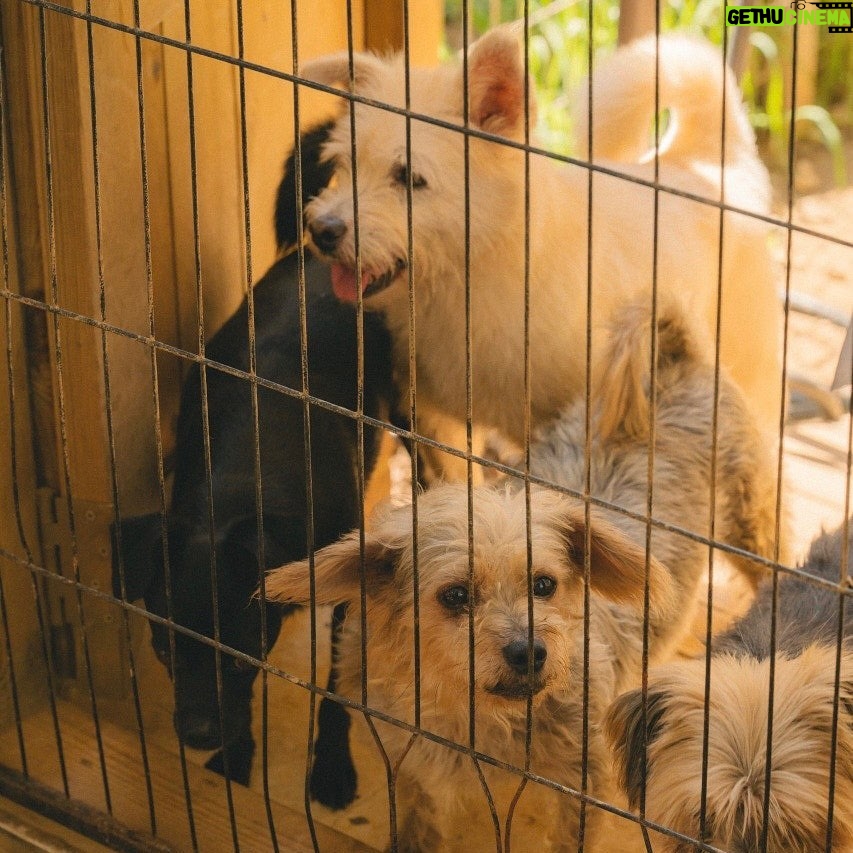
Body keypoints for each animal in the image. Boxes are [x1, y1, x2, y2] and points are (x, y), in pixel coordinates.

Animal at [115, 121, 394, 804]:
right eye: (165, 648)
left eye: (241, 658)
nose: (196, 734)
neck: (243, 484)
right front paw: (237, 763)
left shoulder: (346, 588)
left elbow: (334, 691)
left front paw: (331, 772)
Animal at [302, 26, 784, 446]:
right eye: (345, 165)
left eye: (408, 177)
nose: (322, 230)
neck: (478, 280)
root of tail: (708, 161)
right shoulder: (437, 422)